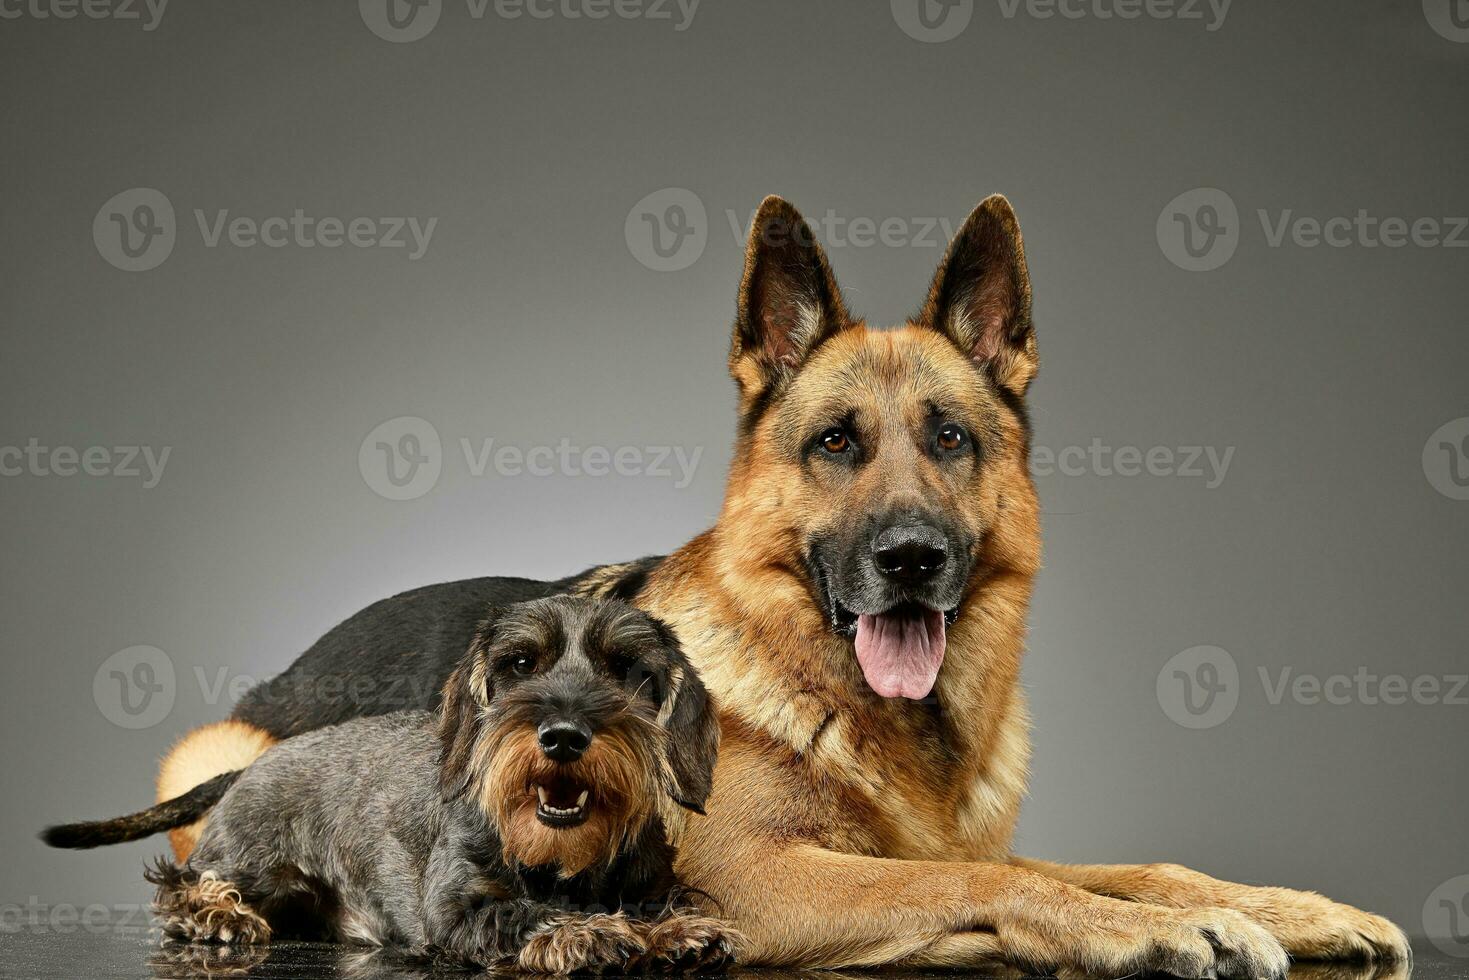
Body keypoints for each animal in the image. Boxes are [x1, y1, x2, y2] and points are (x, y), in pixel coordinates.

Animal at [60, 195, 1410, 975]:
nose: (909, 556)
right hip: (208, 752)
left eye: (951, 437)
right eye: (835, 443)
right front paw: (1138, 931)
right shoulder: (757, 881)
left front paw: (1271, 903)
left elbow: (1118, 861)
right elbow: (984, 877)